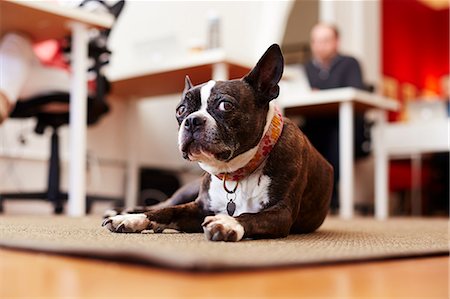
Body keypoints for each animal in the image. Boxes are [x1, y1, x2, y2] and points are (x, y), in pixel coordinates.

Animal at [103, 44, 334, 241]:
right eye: (181, 110)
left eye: (225, 105)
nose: (192, 120)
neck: (235, 173)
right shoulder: (199, 207)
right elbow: (165, 211)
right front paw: (132, 220)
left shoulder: (281, 213)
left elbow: (251, 216)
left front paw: (228, 222)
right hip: (186, 191)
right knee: (162, 203)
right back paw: (123, 211)